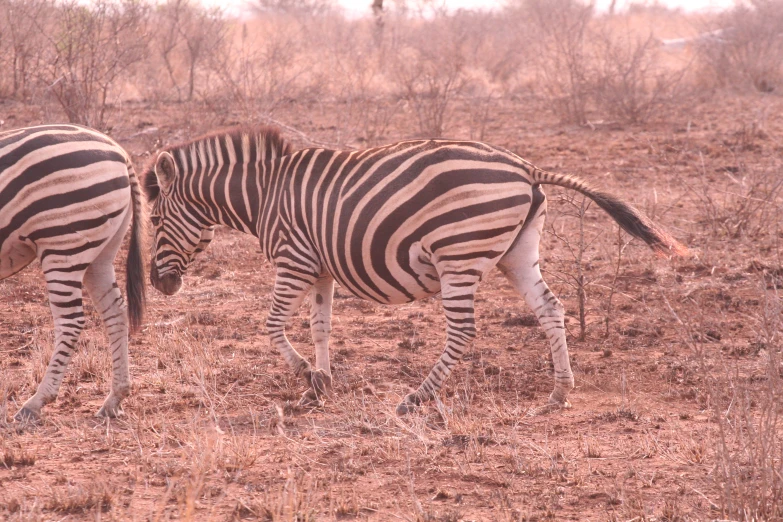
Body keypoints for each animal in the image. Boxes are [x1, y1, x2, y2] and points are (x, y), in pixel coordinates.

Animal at [1, 124, 146, 420]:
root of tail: (120, 152)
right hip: (100, 253)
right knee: (116, 311)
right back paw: (115, 398)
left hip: (63, 242)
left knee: (71, 322)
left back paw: (36, 402)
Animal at [142, 126, 688, 414]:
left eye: (153, 220)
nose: (159, 285)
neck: (264, 194)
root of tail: (526, 167)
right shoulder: (319, 268)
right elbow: (320, 326)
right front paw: (323, 381)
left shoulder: (294, 259)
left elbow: (273, 325)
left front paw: (307, 377)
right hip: (516, 251)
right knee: (551, 309)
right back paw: (559, 391)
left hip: (459, 254)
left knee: (463, 331)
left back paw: (417, 397)